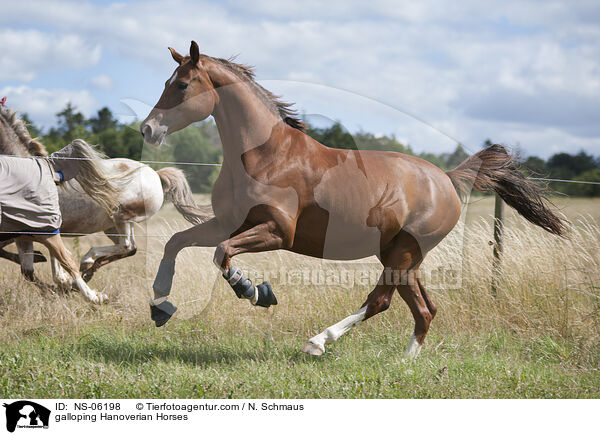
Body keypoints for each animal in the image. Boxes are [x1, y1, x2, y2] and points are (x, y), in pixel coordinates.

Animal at [0, 105, 211, 286]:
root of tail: (157, 176)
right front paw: (60, 277)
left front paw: (61, 279)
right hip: (113, 226)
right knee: (130, 248)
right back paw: (87, 272)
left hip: (121, 217)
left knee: (126, 246)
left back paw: (87, 262)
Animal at [142, 41, 568, 360]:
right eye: (167, 81)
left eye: (182, 85)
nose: (148, 129)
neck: (264, 156)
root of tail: (446, 180)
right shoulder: (228, 222)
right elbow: (176, 243)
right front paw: (160, 305)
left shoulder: (277, 231)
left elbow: (223, 254)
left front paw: (255, 291)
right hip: (401, 256)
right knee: (424, 309)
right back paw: (404, 363)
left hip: (403, 254)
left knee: (381, 301)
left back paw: (318, 342)